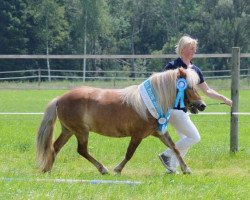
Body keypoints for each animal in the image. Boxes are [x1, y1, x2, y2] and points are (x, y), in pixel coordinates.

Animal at [36, 68, 206, 174]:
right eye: (189, 87)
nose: (202, 105)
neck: (148, 104)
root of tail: (60, 99)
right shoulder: (137, 135)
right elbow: (129, 154)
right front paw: (117, 169)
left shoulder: (159, 132)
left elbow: (175, 148)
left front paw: (186, 169)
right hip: (81, 131)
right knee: (81, 150)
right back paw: (102, 169)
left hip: (68, 131)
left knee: (55, 147)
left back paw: (47, 169)